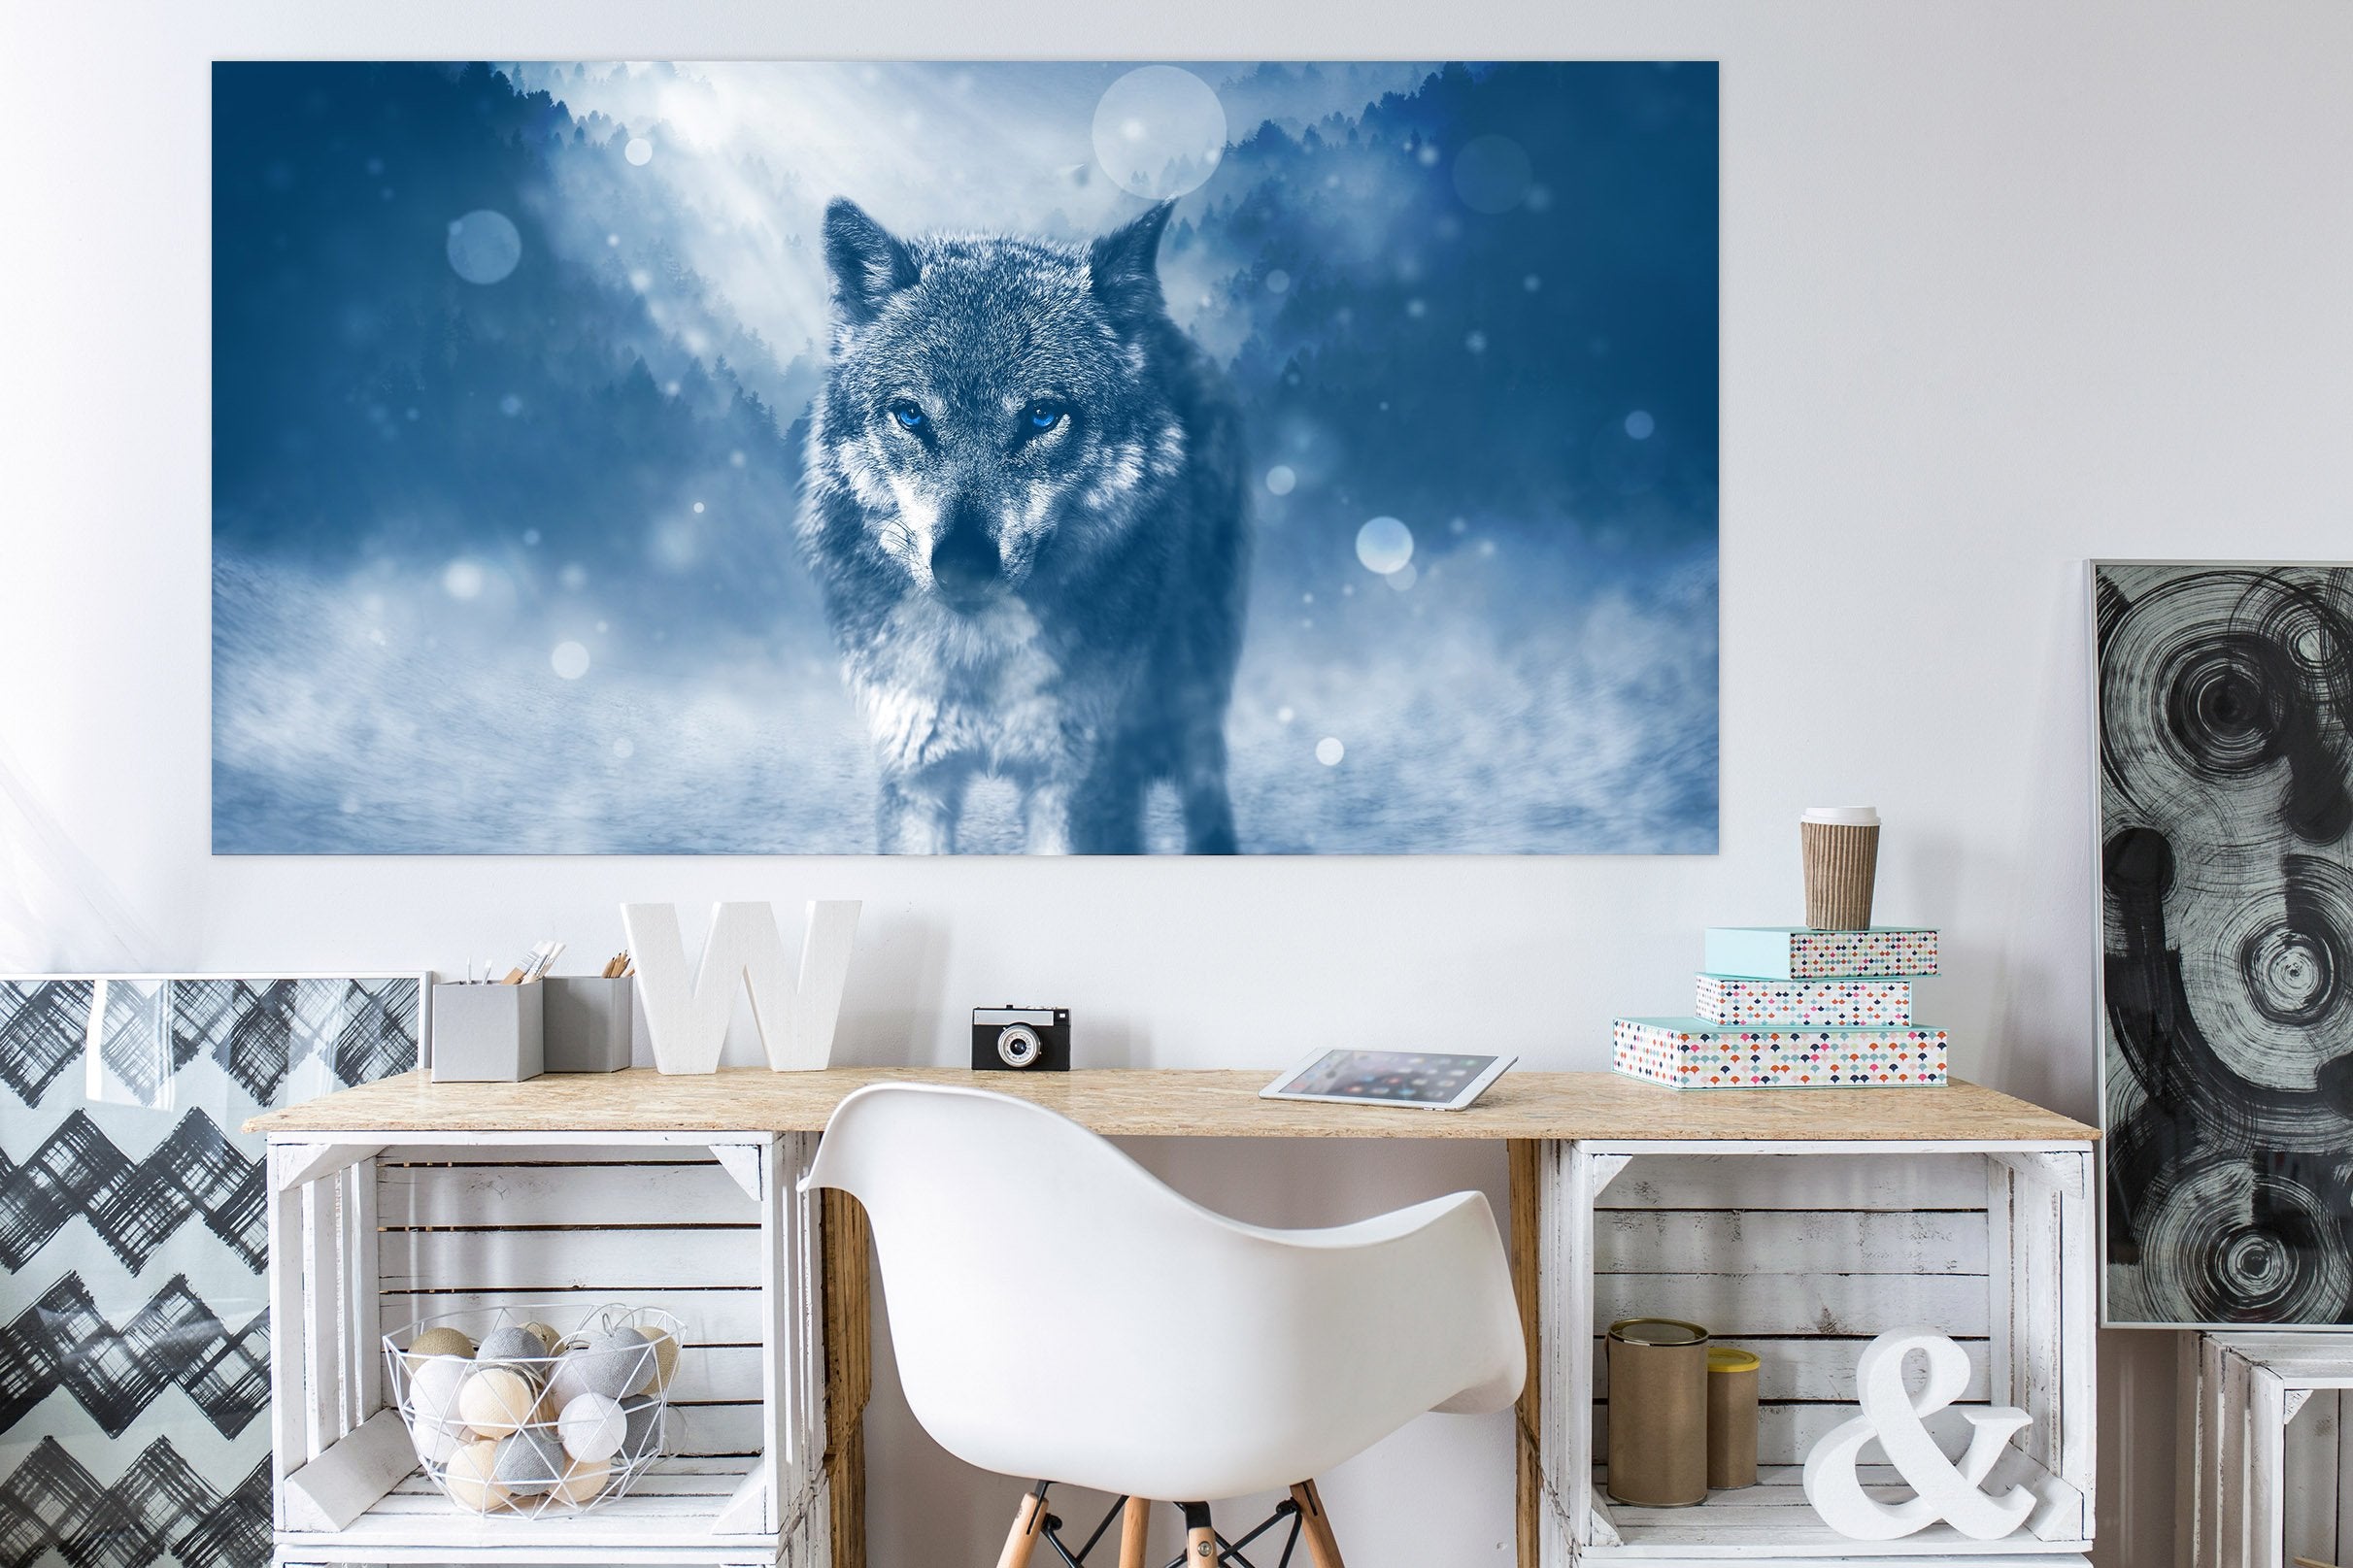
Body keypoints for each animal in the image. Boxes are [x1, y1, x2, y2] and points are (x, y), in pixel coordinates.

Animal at [797, 197, 1250, 854]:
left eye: (1041, 416)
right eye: (910, 415)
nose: (962, 565)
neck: (980, 661)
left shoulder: (1078, 782)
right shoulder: (915, 774)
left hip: (1194, 684)